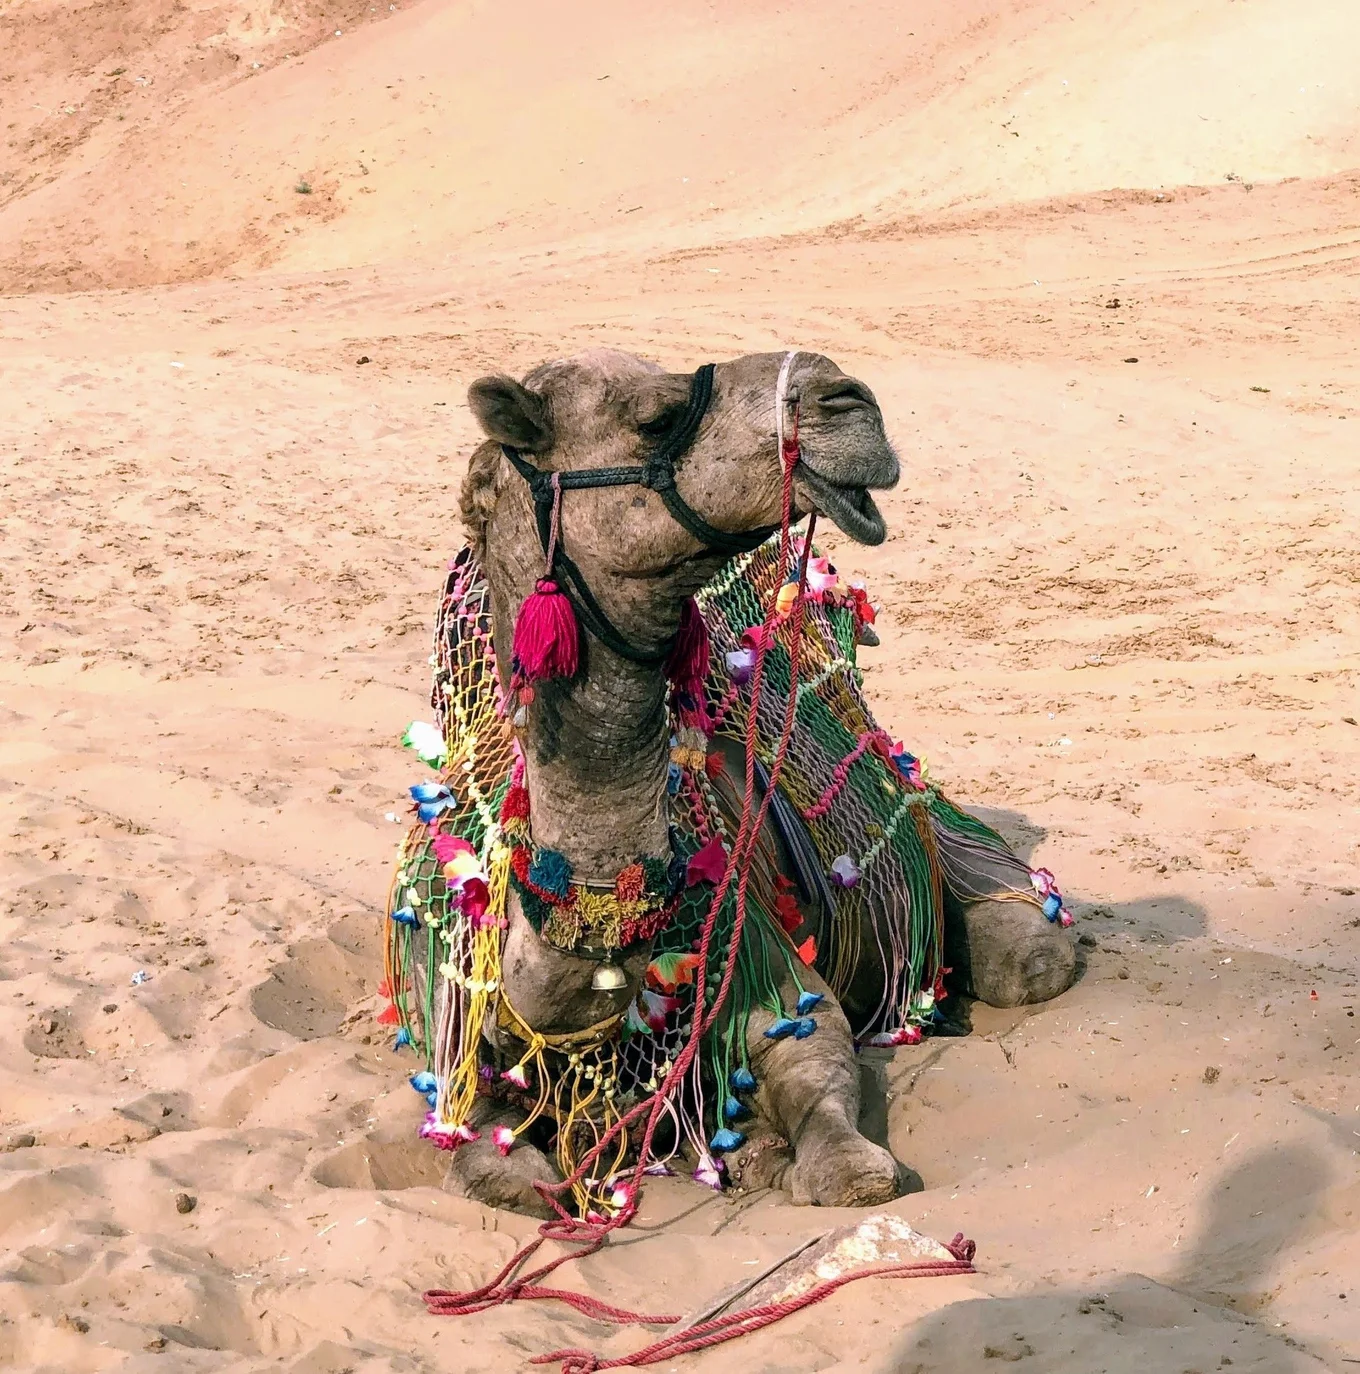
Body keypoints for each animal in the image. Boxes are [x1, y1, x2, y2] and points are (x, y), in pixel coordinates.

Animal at [390, 348, 1077, 1220]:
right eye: (654, 416)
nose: (845, 396)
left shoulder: (757, 955)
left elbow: (831, 1110)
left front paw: (789, 1157)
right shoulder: (453, 1034)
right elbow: (490, 1168)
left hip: (921, 813)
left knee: (1024, 953)